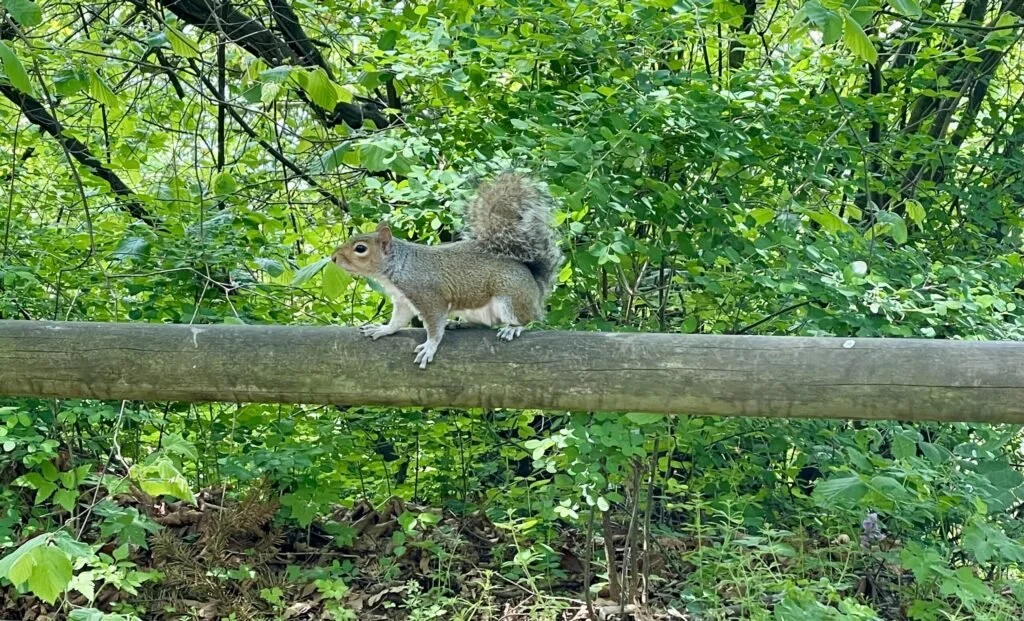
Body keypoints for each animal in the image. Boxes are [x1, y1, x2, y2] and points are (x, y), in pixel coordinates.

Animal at [331, 172, 562, 368]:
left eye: (360, 249)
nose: (333, 258)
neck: (401, 266)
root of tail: (535, 286)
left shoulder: (429, 297)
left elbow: (434, 327)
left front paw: (429, 347)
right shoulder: (403, 300)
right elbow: (398, 321)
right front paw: (383, 329)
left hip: (510, 296)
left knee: (528, 318)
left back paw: (513, 328)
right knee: (486, 324)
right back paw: (461, 325)